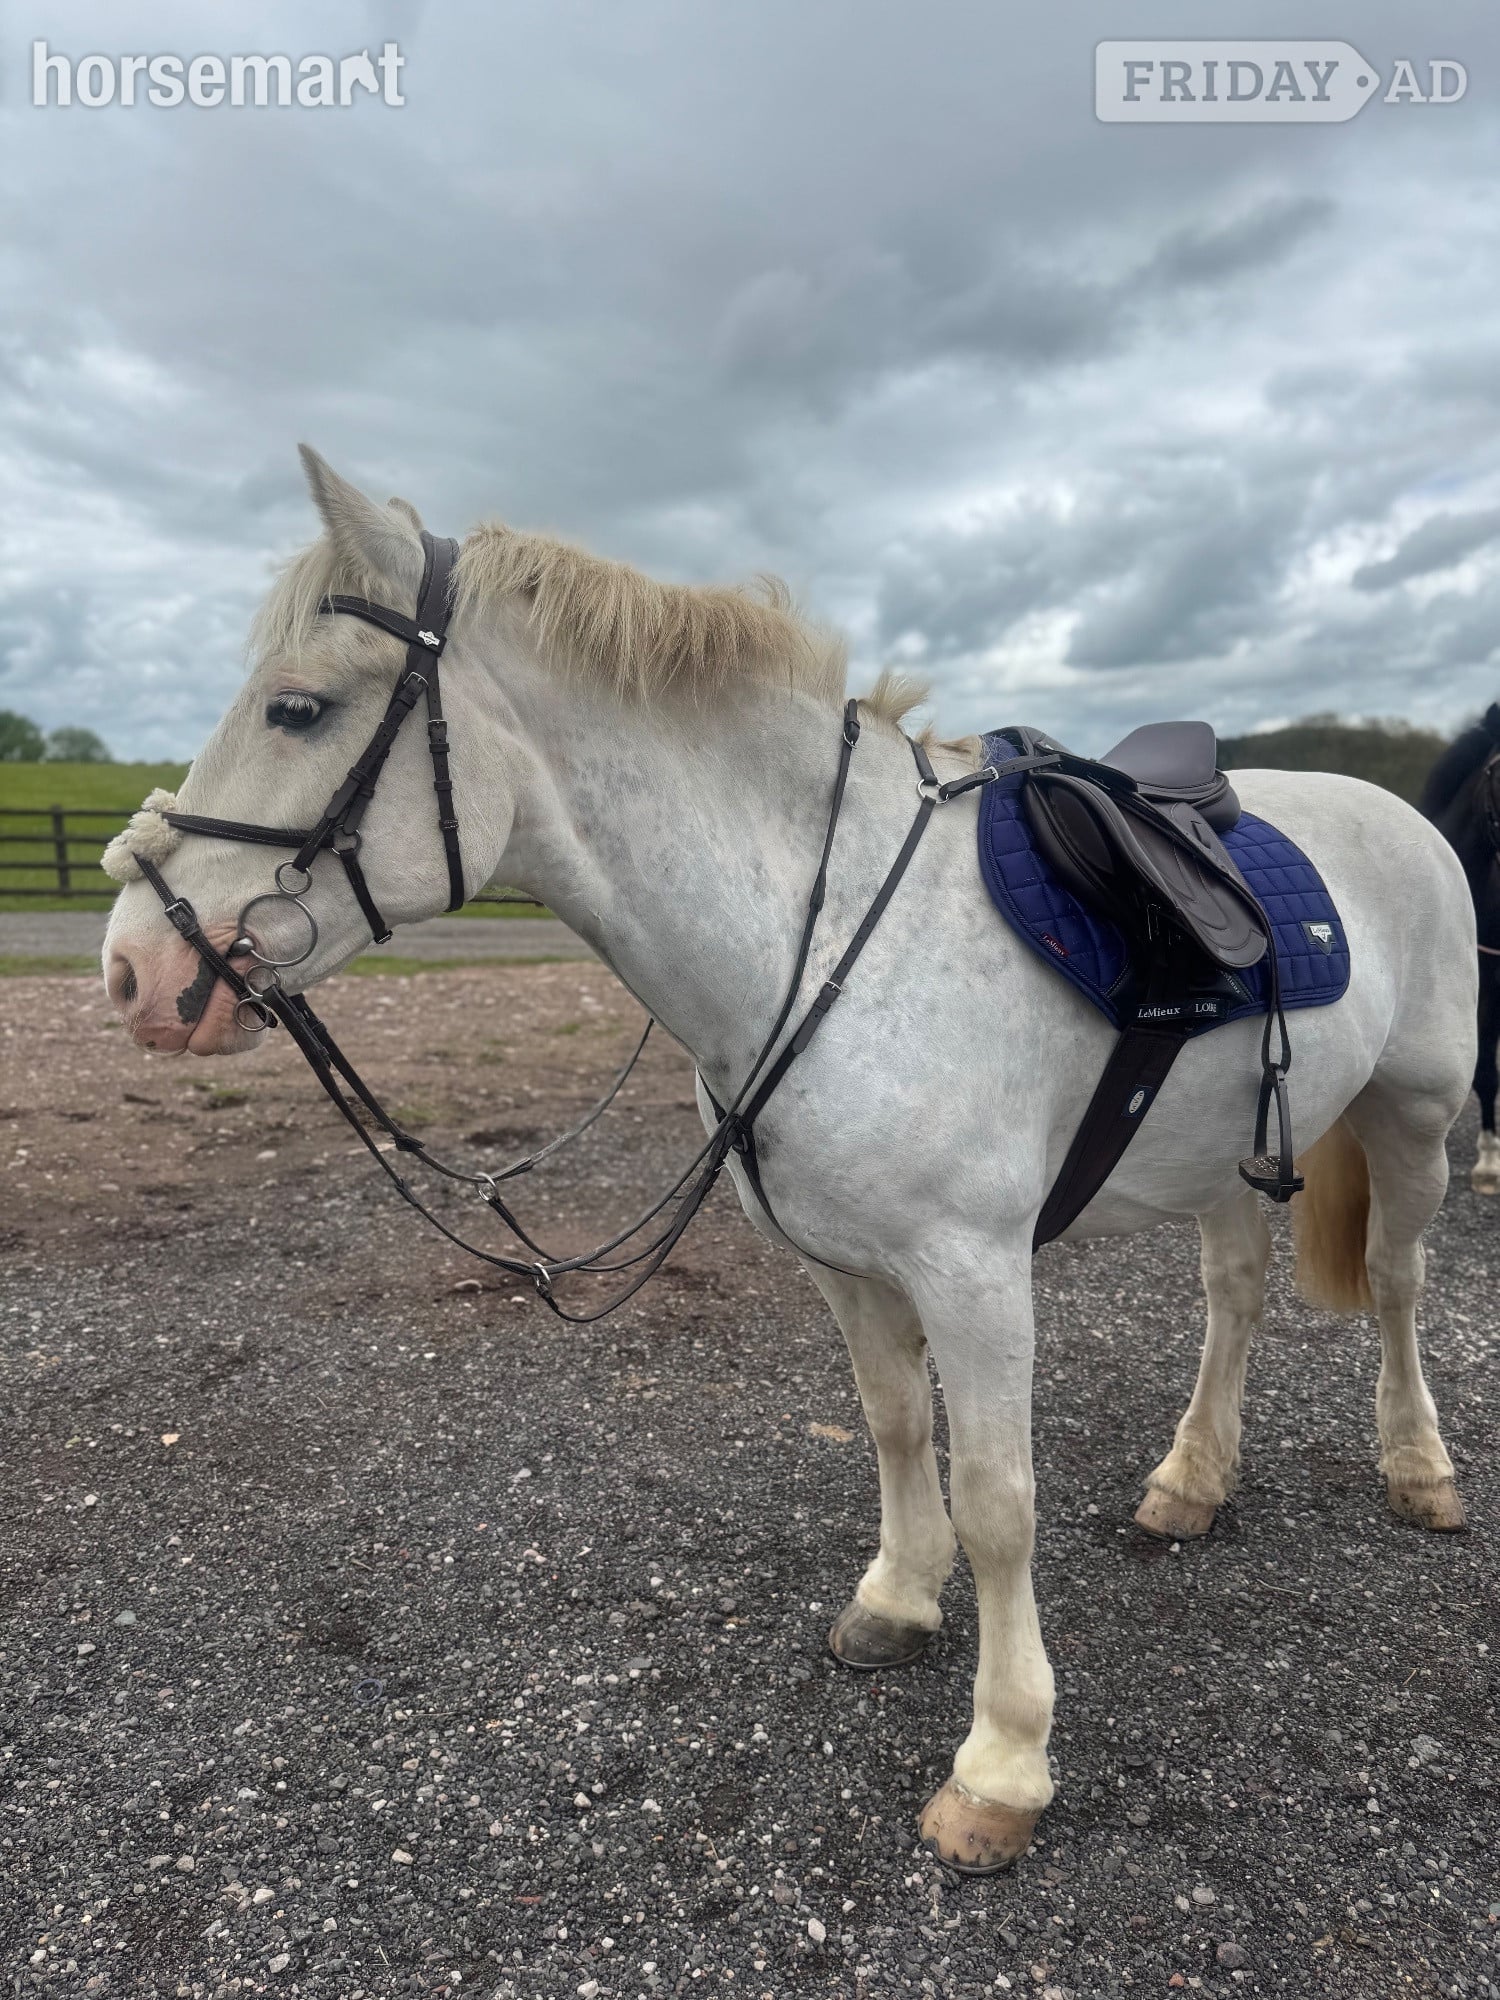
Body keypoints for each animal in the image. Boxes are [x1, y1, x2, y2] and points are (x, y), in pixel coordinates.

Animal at [100, 448, 1475, 1874]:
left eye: (298, 708)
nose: (133, 966)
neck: (823, 931)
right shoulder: (848, 1263)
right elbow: (895, 1423)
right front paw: (898, 1600)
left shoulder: (976, 1273)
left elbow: (998, 1498)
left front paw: (1002, 1762)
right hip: (1229, 1152)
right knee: (1236, 1295)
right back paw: (1191, 1481)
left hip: (1417, 1118)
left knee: (1397, 1283)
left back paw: (1419, 1470)